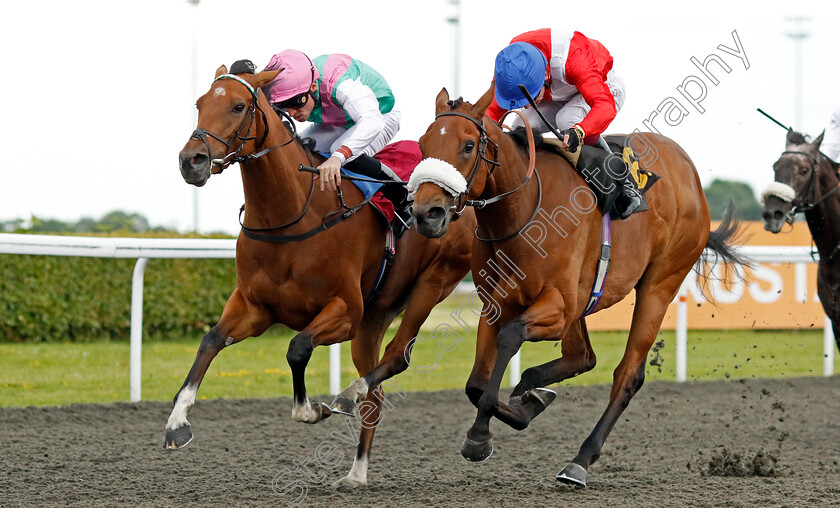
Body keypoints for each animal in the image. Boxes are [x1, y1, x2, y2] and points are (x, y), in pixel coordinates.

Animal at [167, 64, 476, 488]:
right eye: (199, 103)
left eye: (238, 105)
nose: (191, 160)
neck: (293, 213)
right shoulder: (254, 307)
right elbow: (210, 340)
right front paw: (176, 422)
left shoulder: (345, 311)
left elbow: (297, 347)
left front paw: (312, 409)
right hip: (374, 318)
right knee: (374, 395)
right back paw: (357, 470)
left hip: (432, 285)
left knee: (396, 358)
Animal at [410, 85, 744, 486]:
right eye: (423, 143)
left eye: (468, 145)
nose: (426, 214)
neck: (523, 210)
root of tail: (690, 173)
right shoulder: (496, 304)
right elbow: (475, 384)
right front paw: (525, 405)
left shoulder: (558, 306)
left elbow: (511, 337)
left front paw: (479, 435)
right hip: (586, 299)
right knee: (584, 357)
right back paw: (534, 390)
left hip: (659, 285)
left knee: (627, 374)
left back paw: (580, 459)